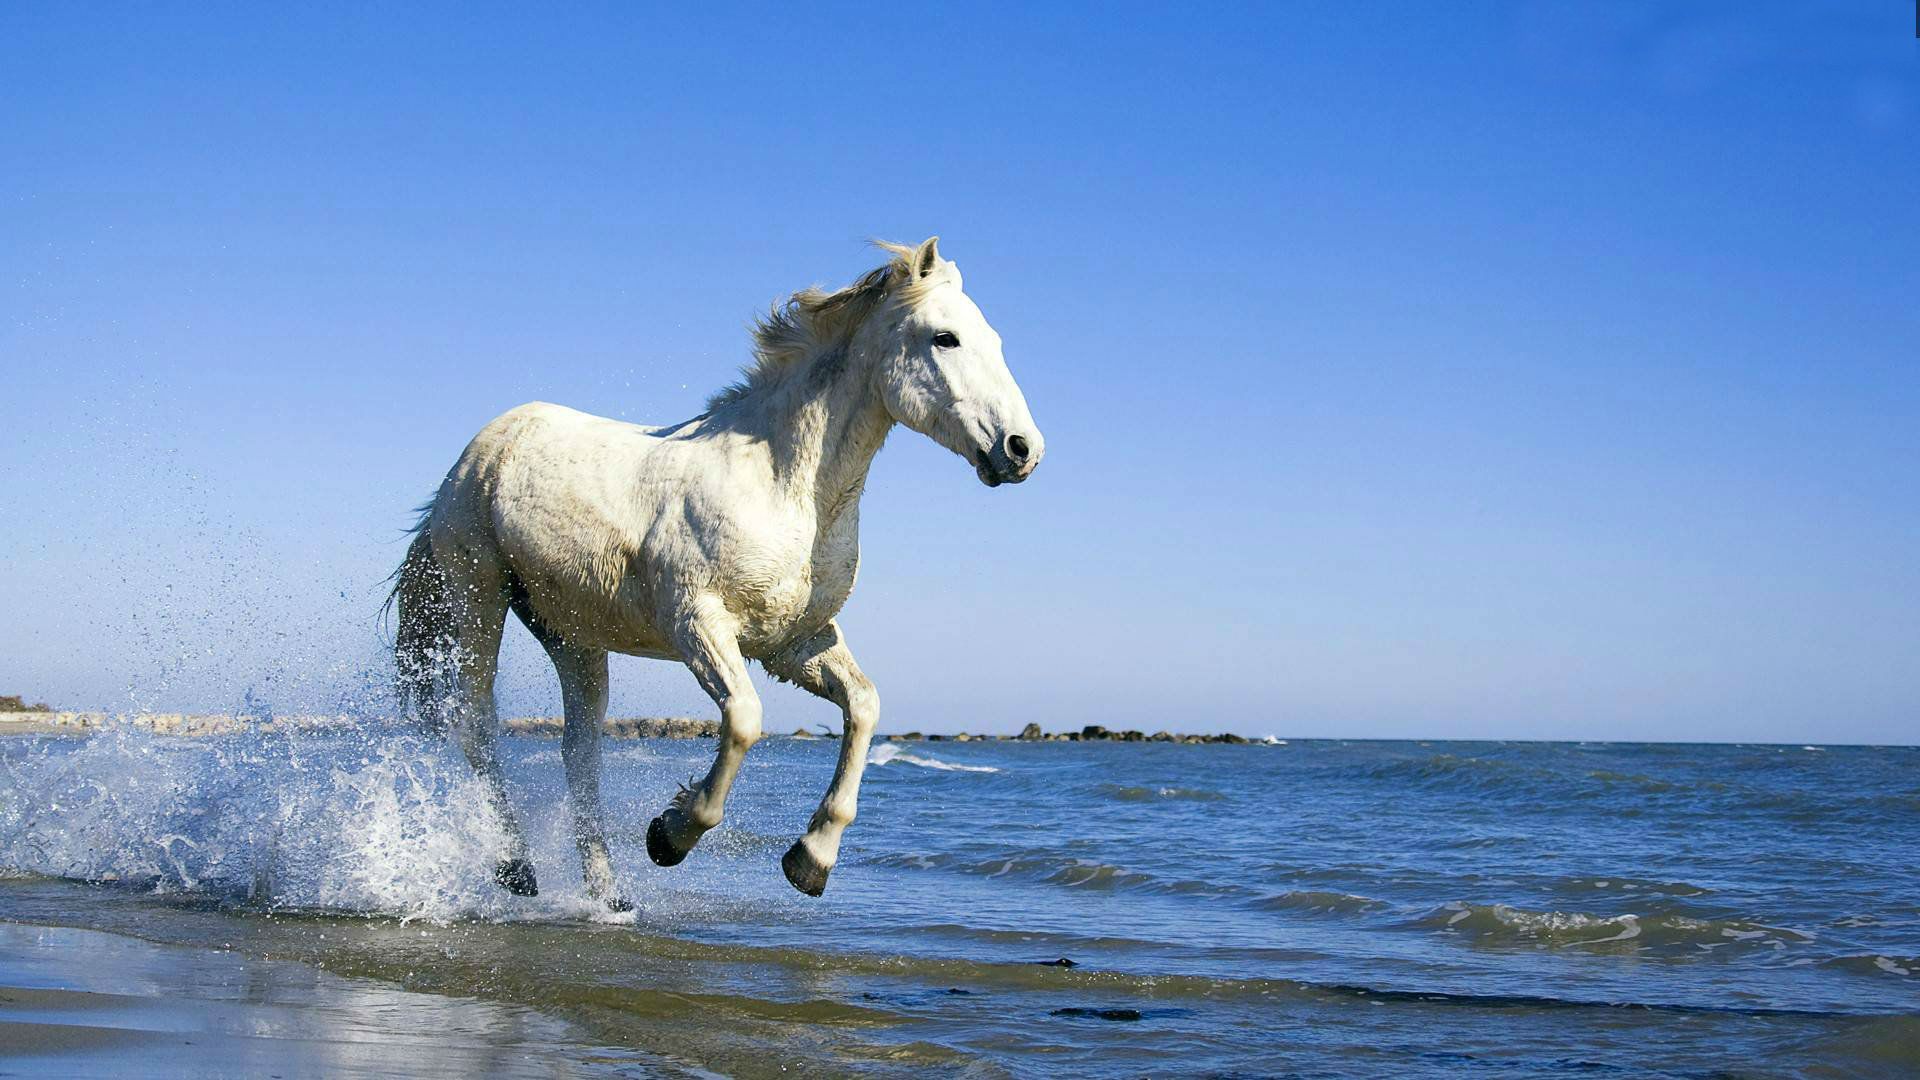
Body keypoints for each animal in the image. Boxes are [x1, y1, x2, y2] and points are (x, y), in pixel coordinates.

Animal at [390, 237, 1044, 909]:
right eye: (945, 338)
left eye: (993, 339)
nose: (1022, 449)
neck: (784, 486)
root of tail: (480, 450)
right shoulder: (698, 624)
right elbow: (746, 720)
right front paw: (669, 835)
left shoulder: (795, 642)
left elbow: (864, 706)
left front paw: (811, 861)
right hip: (478, 596)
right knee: (476, 723)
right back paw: (516, 867)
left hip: (573, 635)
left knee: (580, 754)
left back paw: (609, 896)